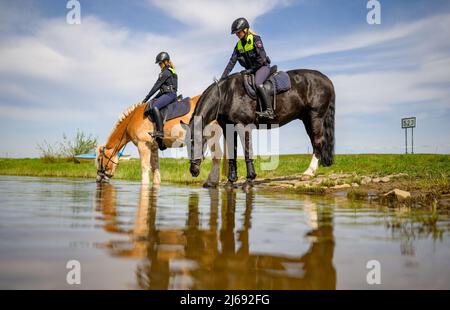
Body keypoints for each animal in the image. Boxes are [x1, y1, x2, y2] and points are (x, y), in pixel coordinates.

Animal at [187, 69, 334, 186]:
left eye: (199, 143)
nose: (193, 171)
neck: (226, 95)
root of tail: (326, 79)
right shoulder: (228, 128)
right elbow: (232, 153)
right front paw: (231, 180)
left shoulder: (243, 125)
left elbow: (247, 151)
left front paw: (250, 178)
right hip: (307, 119)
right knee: (315, 142)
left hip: (315, 116)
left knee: (318, 142)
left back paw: (309, 173)